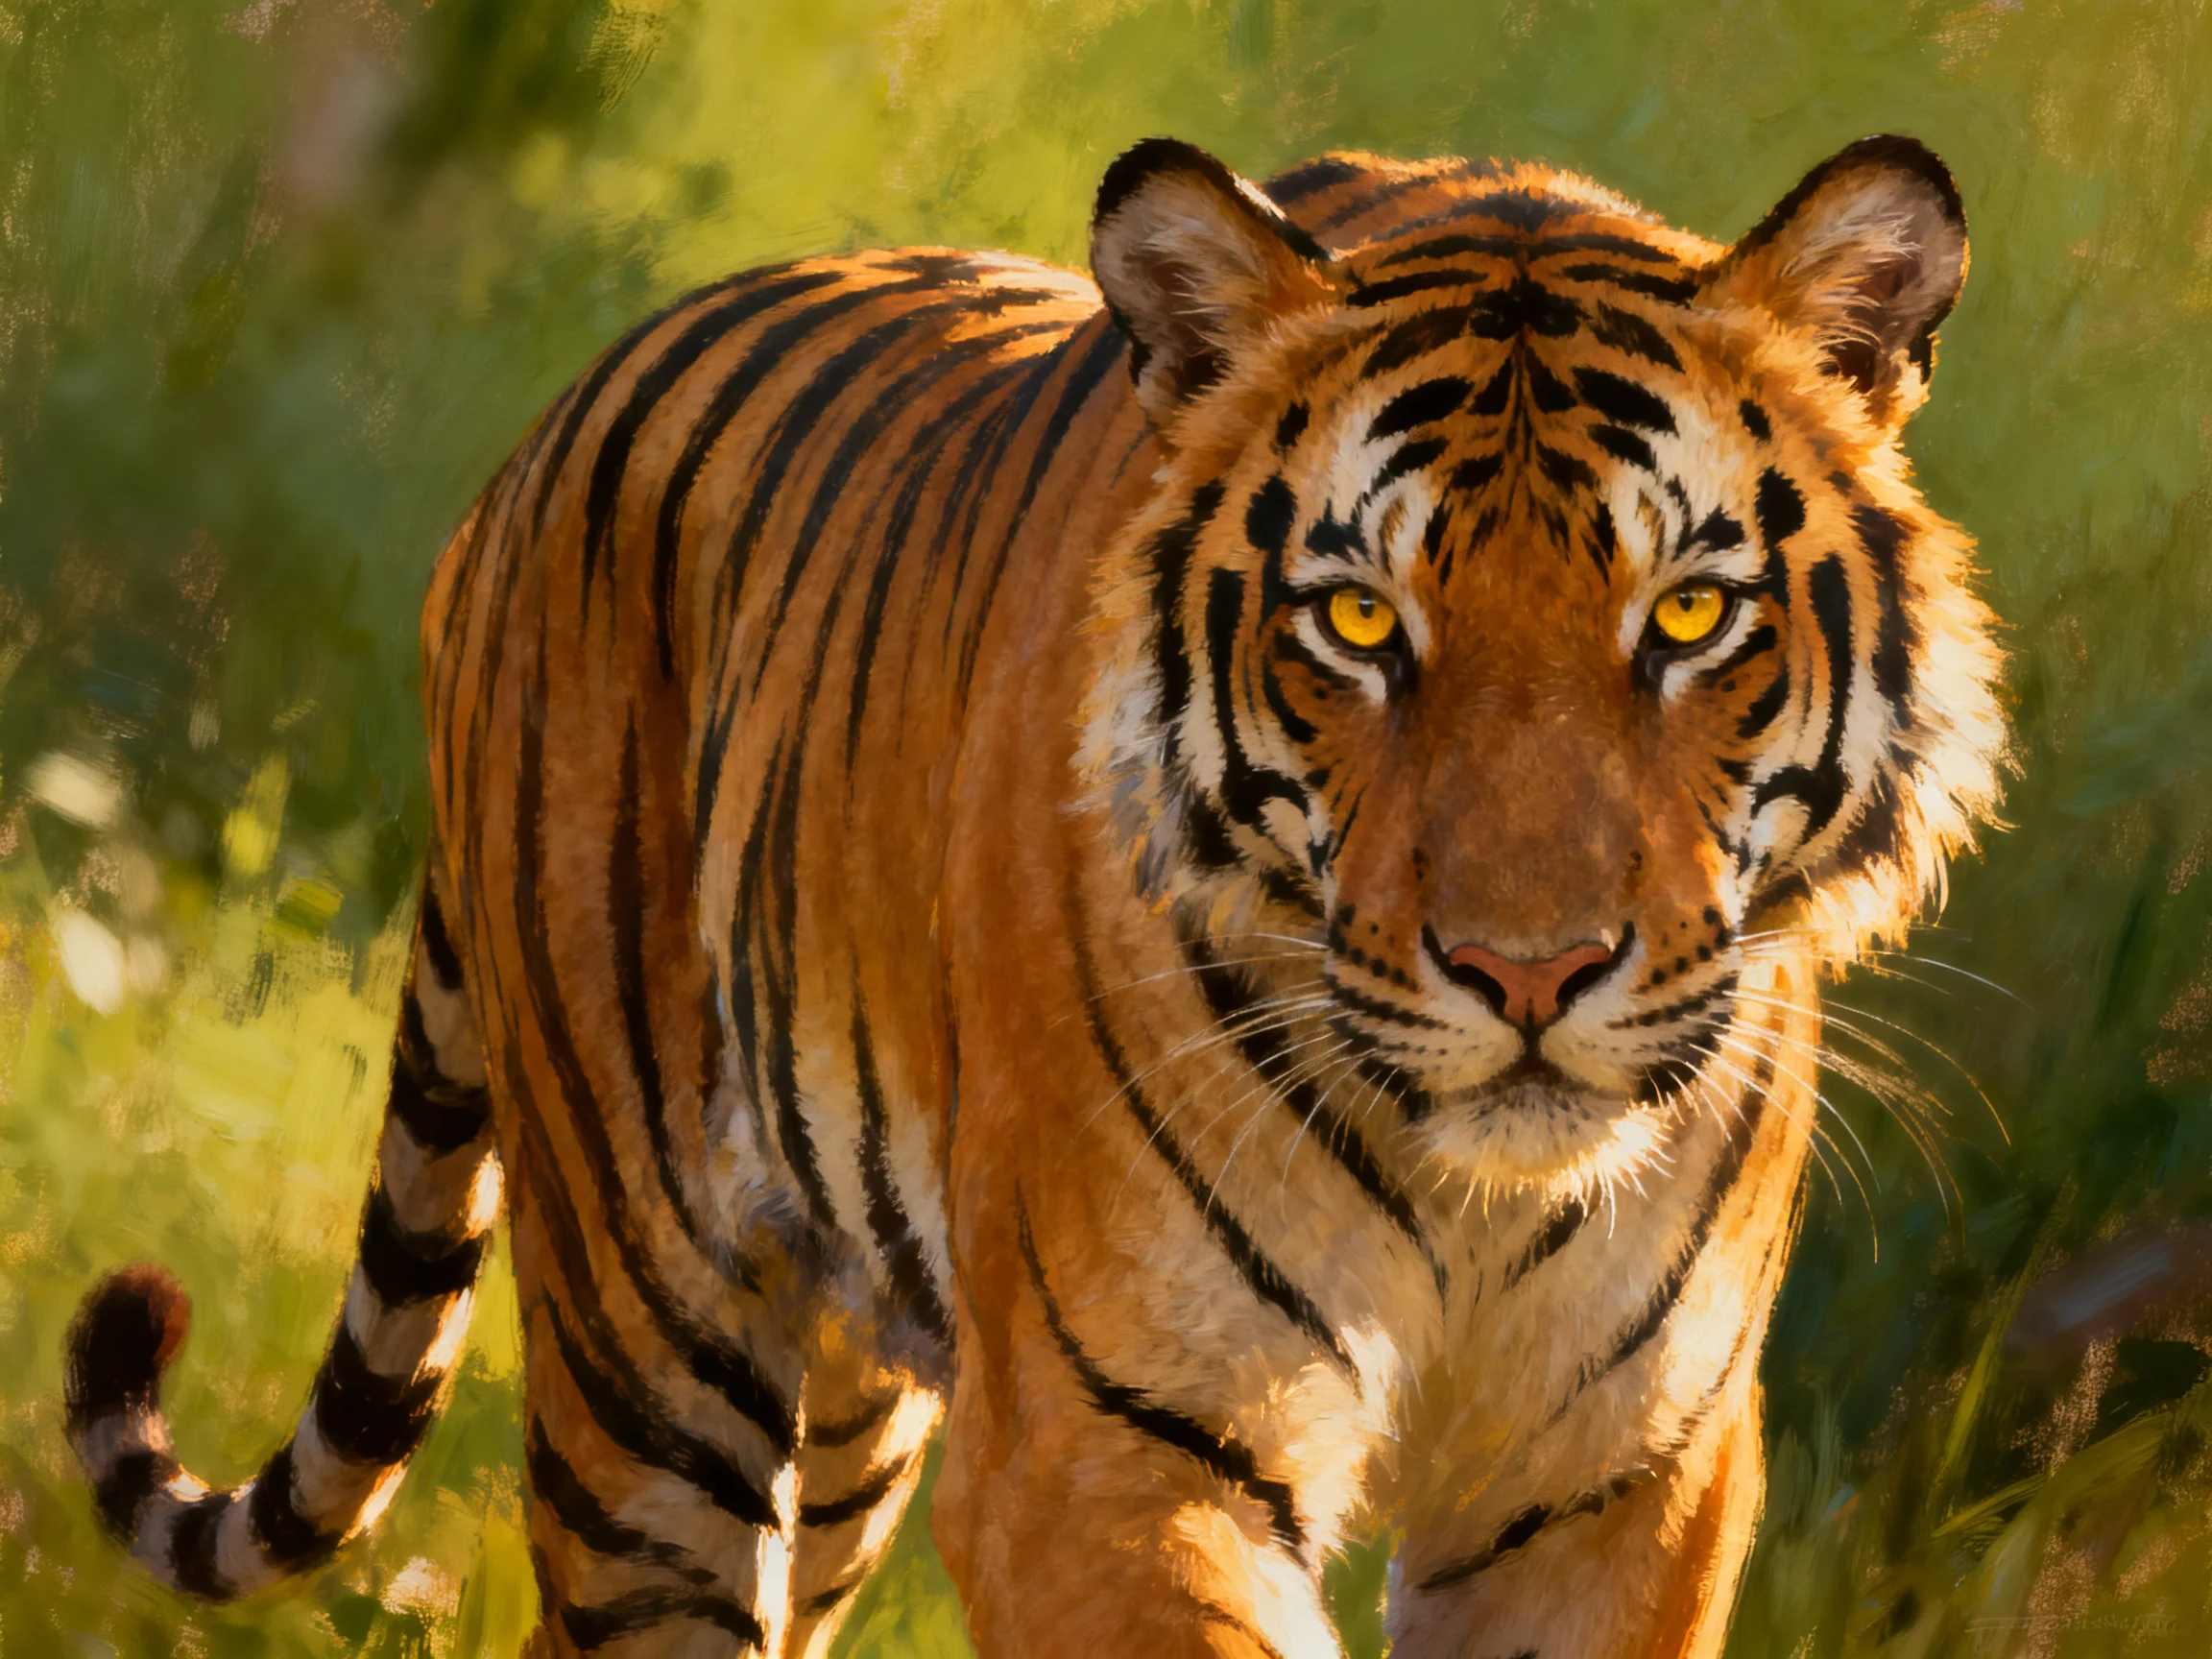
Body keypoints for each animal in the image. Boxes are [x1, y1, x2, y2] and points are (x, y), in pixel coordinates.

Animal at [65, 131, 2002, 1657]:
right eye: (1355, 621)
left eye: (1688, 614)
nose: (1526, 974)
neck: (1471, 1206)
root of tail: (527, 452)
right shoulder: (1106, 1444)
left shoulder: (1617, 1488)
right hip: (647, 1348)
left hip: (846, 1430)